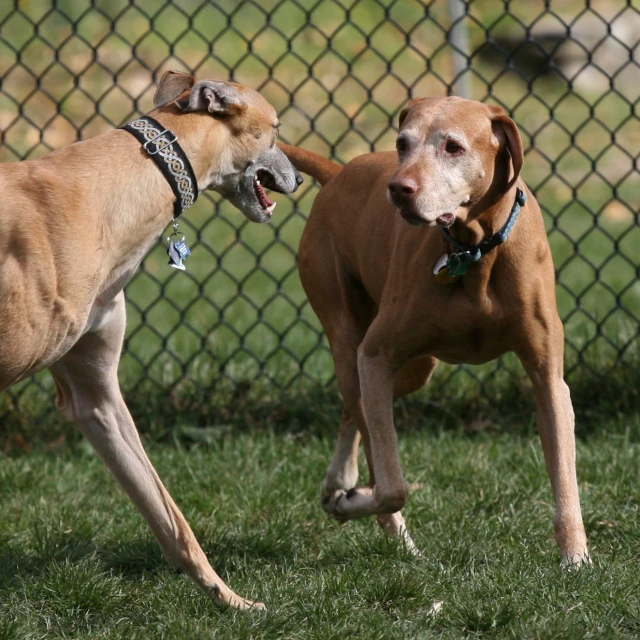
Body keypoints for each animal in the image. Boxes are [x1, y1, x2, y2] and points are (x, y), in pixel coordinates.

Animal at [0, 71, 302, 608]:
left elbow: (168, 514)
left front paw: (232, 600)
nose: (301, 180)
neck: (106, 194)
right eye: (276, 127)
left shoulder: (94, 394)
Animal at [284, 96, 592, 564]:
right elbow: (392, 484)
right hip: (350, 338)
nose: (399, 189)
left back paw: (339, 483)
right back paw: (373, 514)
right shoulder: (376, 355)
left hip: (415, 368)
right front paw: (358, 504)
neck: (474, 249)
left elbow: (564, 476)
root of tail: (338, 172)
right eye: (402, 143)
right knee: (365, 425)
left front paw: (576, 558)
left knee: (353, 411)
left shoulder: (548, 378)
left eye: (453, 147)